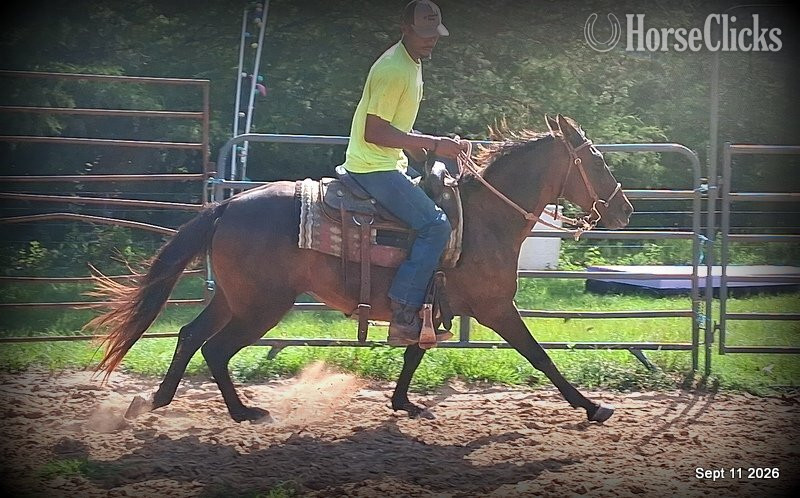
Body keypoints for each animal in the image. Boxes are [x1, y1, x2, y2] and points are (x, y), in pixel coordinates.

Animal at [87, 114, 633, 424]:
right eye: (598, 160)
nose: (625, 210)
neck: (483, 220)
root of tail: (227, 205)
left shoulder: (431, 306)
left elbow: (413, 354)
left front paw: (404, 404)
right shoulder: (497, 308)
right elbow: (541, 357)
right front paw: (593, 407)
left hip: (234, 297)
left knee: (189, 336)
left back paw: (156, 402)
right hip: (262, 306)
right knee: (215, 348)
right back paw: (243, 412)